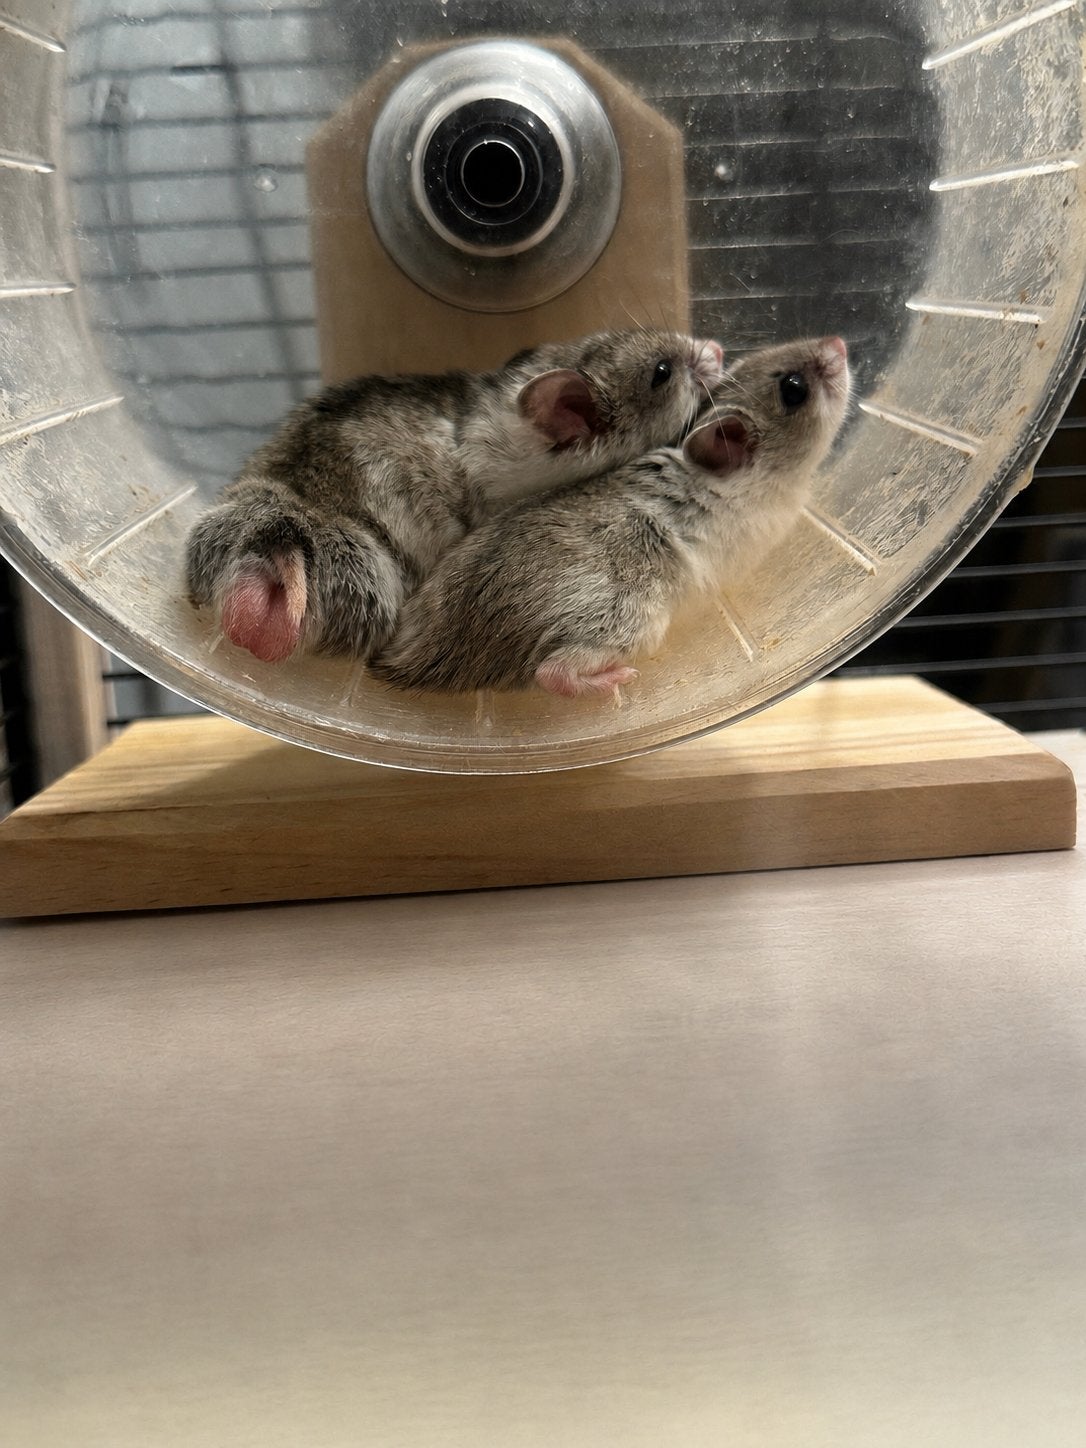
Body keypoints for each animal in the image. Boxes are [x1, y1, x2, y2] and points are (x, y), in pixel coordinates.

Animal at [372, 336, 851, 697]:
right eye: (794, 388)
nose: (839, 342)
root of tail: (402, 662)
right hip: (629, 620)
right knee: (552, 672)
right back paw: (617, 681)